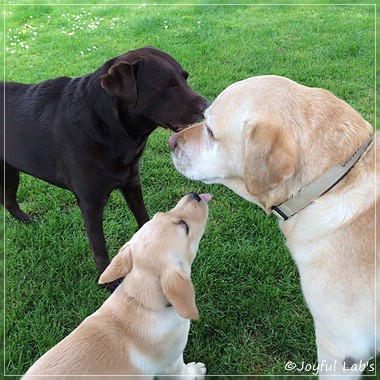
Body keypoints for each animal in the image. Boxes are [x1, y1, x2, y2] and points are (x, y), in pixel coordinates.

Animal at [22, 193, 212, 380]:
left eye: (159, 214)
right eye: (184, 226)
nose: (195, 195)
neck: (142, 302)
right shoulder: (172, 363)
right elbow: (183, 373)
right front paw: (196, 371)